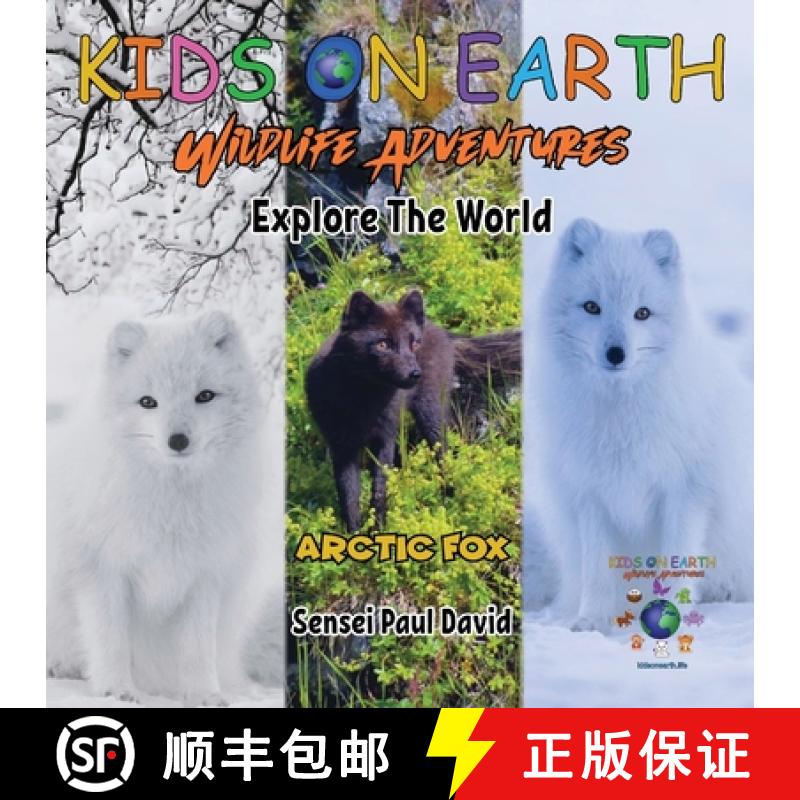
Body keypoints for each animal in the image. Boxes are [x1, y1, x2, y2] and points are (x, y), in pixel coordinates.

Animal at [47, 311, 278, 705]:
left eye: (204, 396)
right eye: (147, 402)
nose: (178, 440)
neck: (172, 504)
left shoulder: (204, 577)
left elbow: (197, 649)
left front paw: (204, 695)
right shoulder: (101, 570)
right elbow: (110, 639)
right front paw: (116, 691)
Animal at [306, 289, 520, 532]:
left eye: (414, 343)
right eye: (383, 344)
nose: (415, 374)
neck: (363, 401)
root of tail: (439, 330)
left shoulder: (385, 438)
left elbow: (379, 489)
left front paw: (379, 529)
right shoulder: (341, 445)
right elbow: (348, 496)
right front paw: (354, 535)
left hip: (430, 413)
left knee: (444, 453)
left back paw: (449, 498)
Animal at [526, 219, 753, 631]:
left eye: (642, 313)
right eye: (592, 307)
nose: (616, 353)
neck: (621, 415)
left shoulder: (685, 493)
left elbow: (677, 563)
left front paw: (672, 614)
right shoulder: (591, 494)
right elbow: (598, 571)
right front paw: (591, 622)